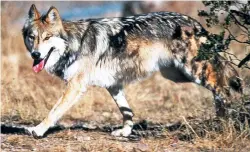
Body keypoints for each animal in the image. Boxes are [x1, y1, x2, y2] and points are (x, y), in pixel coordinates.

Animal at [23, 4, 242, 138]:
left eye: (47, 38)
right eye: (32, 37)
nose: (35, 54)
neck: (74, 44)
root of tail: (194, 22)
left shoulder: (75, 86)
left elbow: (54, 111)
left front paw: (37, 130)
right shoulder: (113, 85)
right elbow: (126, 111)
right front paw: (125, 132)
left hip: (193, 71)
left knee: (222, 86)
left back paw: (227, 120)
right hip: (176, 75)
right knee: (221, 82)